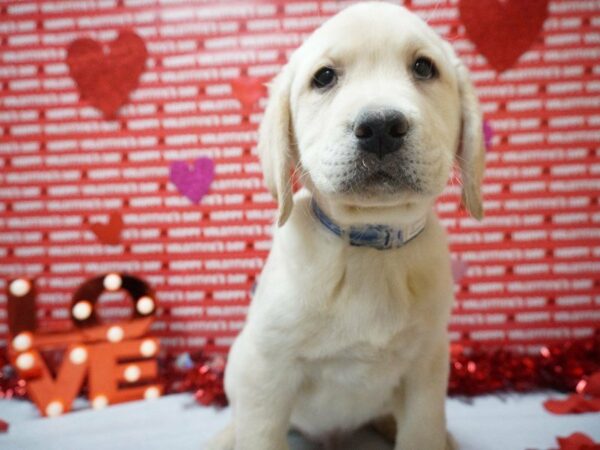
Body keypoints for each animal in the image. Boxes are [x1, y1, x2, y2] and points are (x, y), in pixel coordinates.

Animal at [206, 3, 482, 450]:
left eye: (424, 67)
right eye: (324, 77)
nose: (381, 126)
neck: (369, 247)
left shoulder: (427, 367)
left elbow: (421, 431)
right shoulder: (266, 371)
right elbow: (260, 432)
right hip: (239, 363)